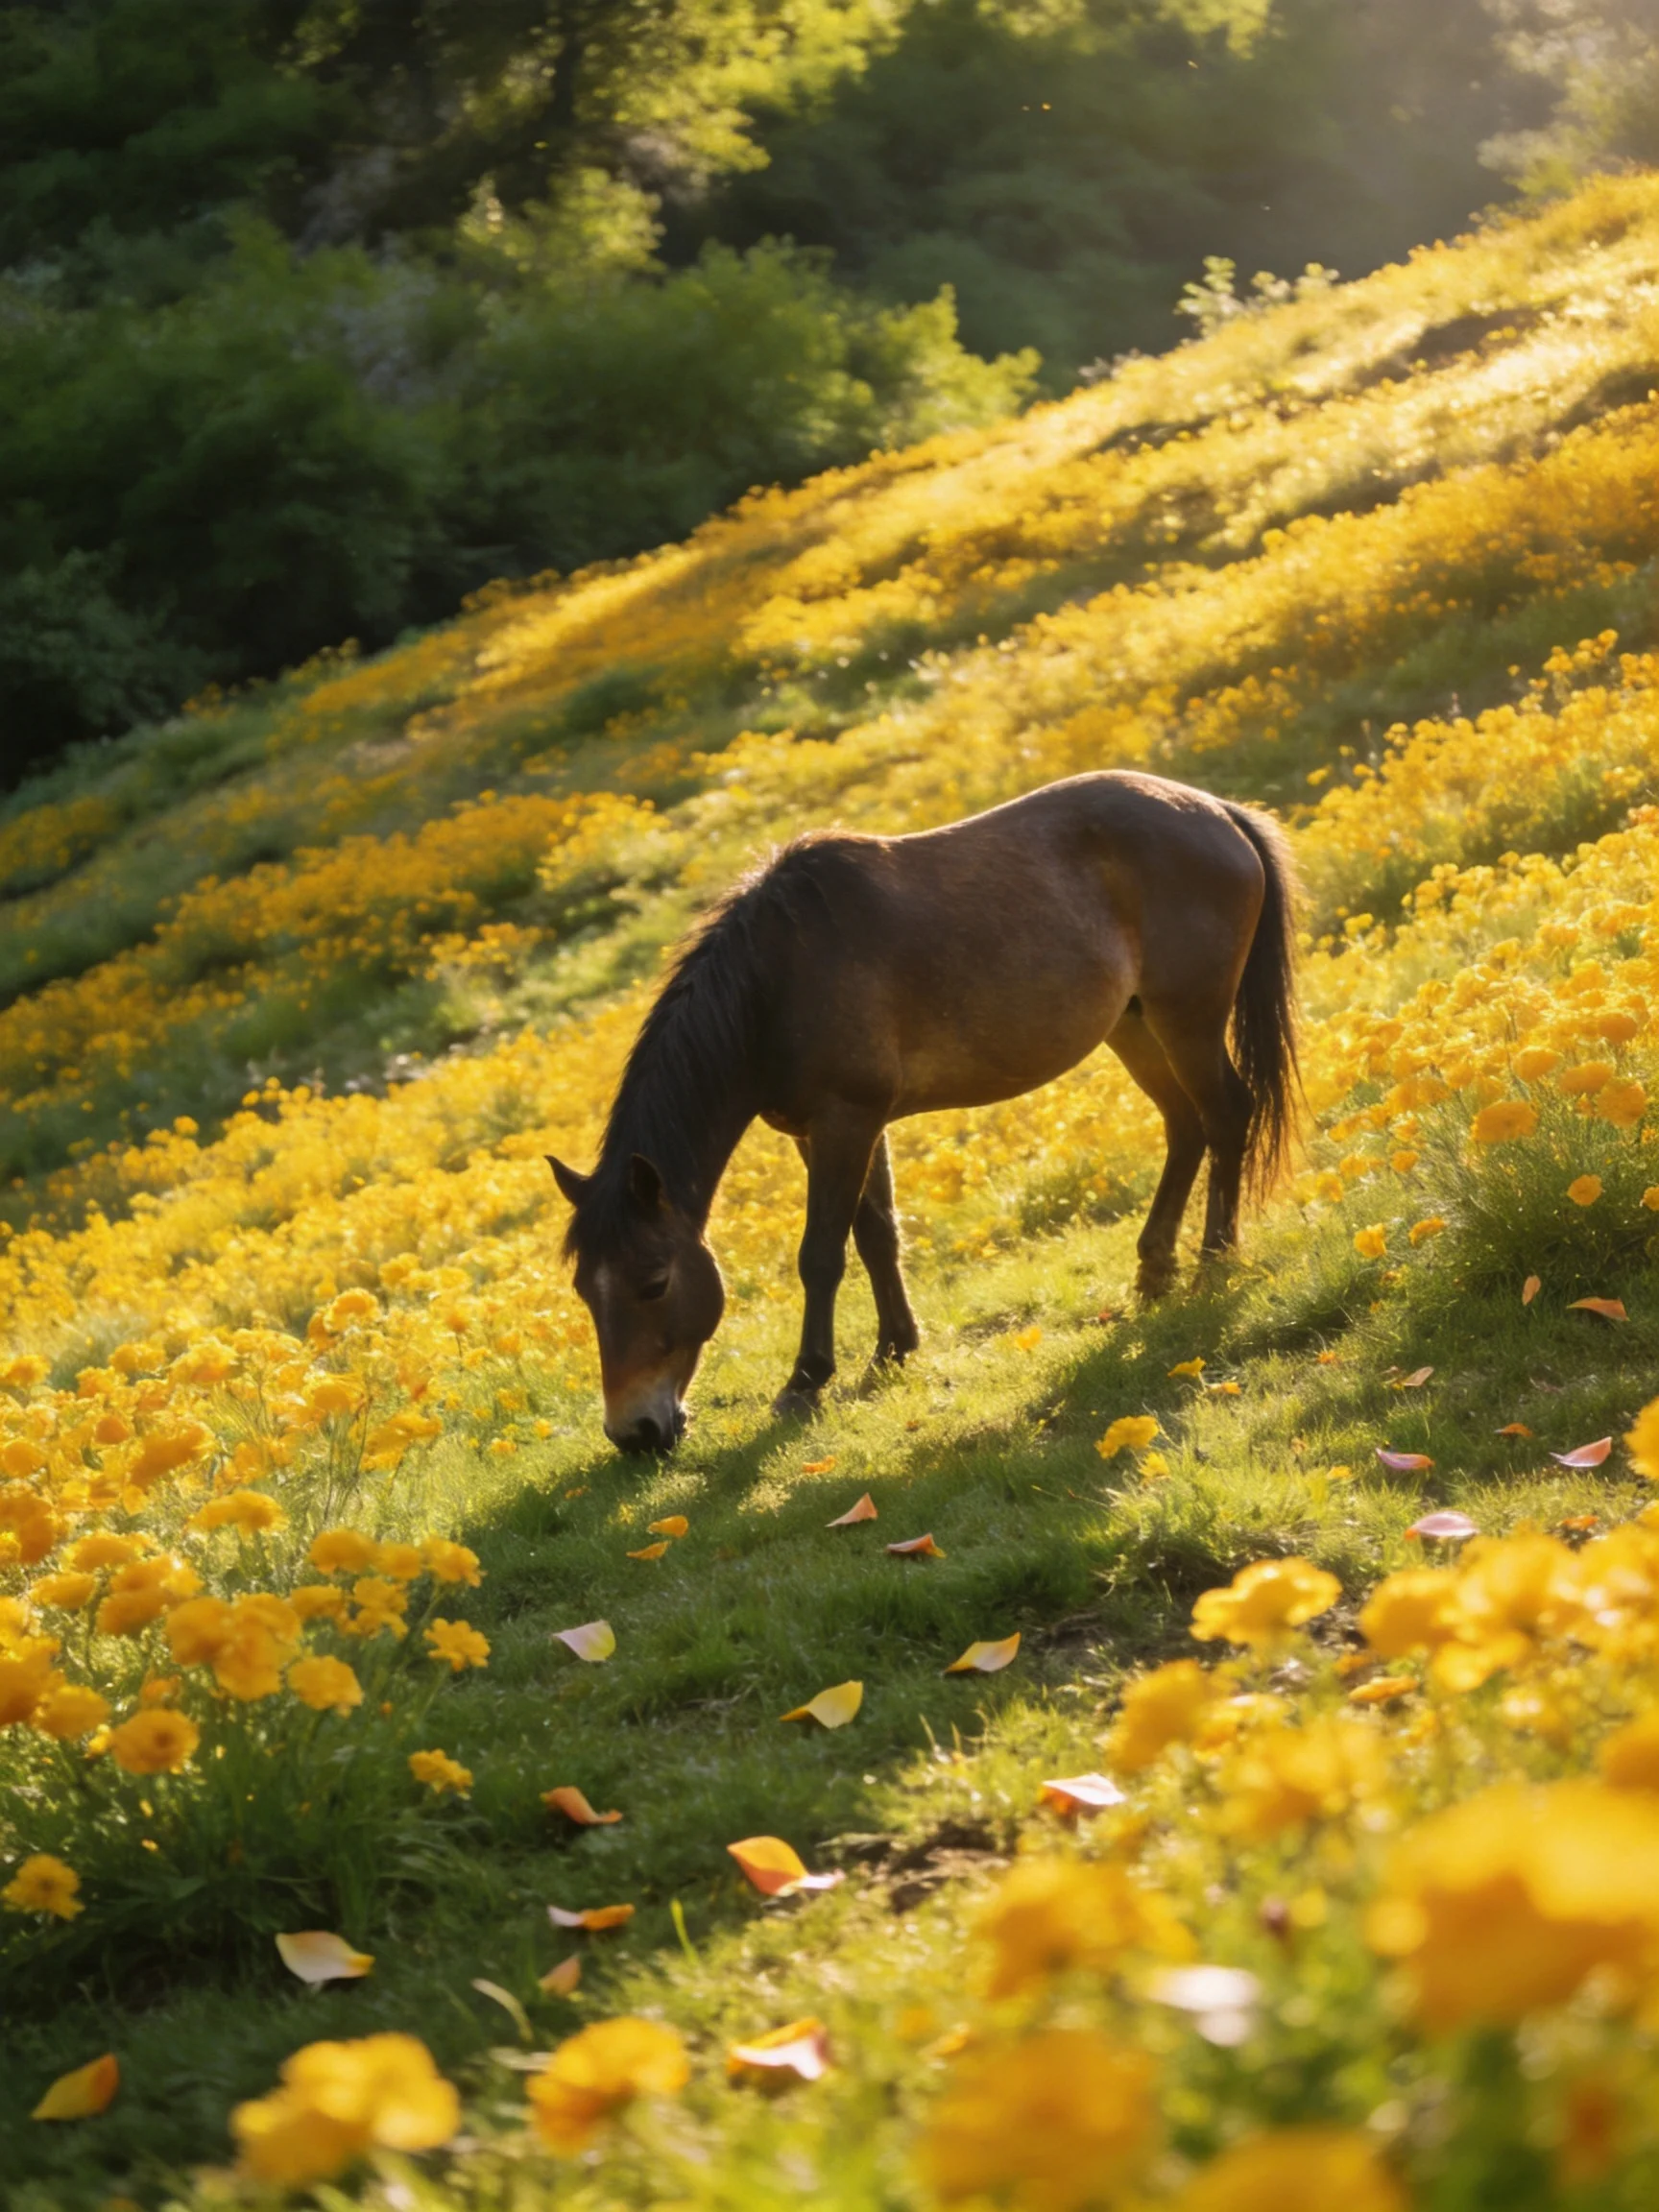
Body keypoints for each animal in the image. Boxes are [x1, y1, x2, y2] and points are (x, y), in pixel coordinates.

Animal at [548, 768, 1298, 1454]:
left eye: (653, 1283)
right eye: (585, 1291)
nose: (635, 1433)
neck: (778, 978)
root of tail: (1217, 811)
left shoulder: (846, 1121)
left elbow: (822, 1253)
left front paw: (806, 1381)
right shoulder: (831, 1129)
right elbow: (876, 1235)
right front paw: (893, 1349)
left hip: (1187, 1021)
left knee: (1226, 1115)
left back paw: (1214, 1259)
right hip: (1135, 1025)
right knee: (1186, 1125)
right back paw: (1154, 1270)